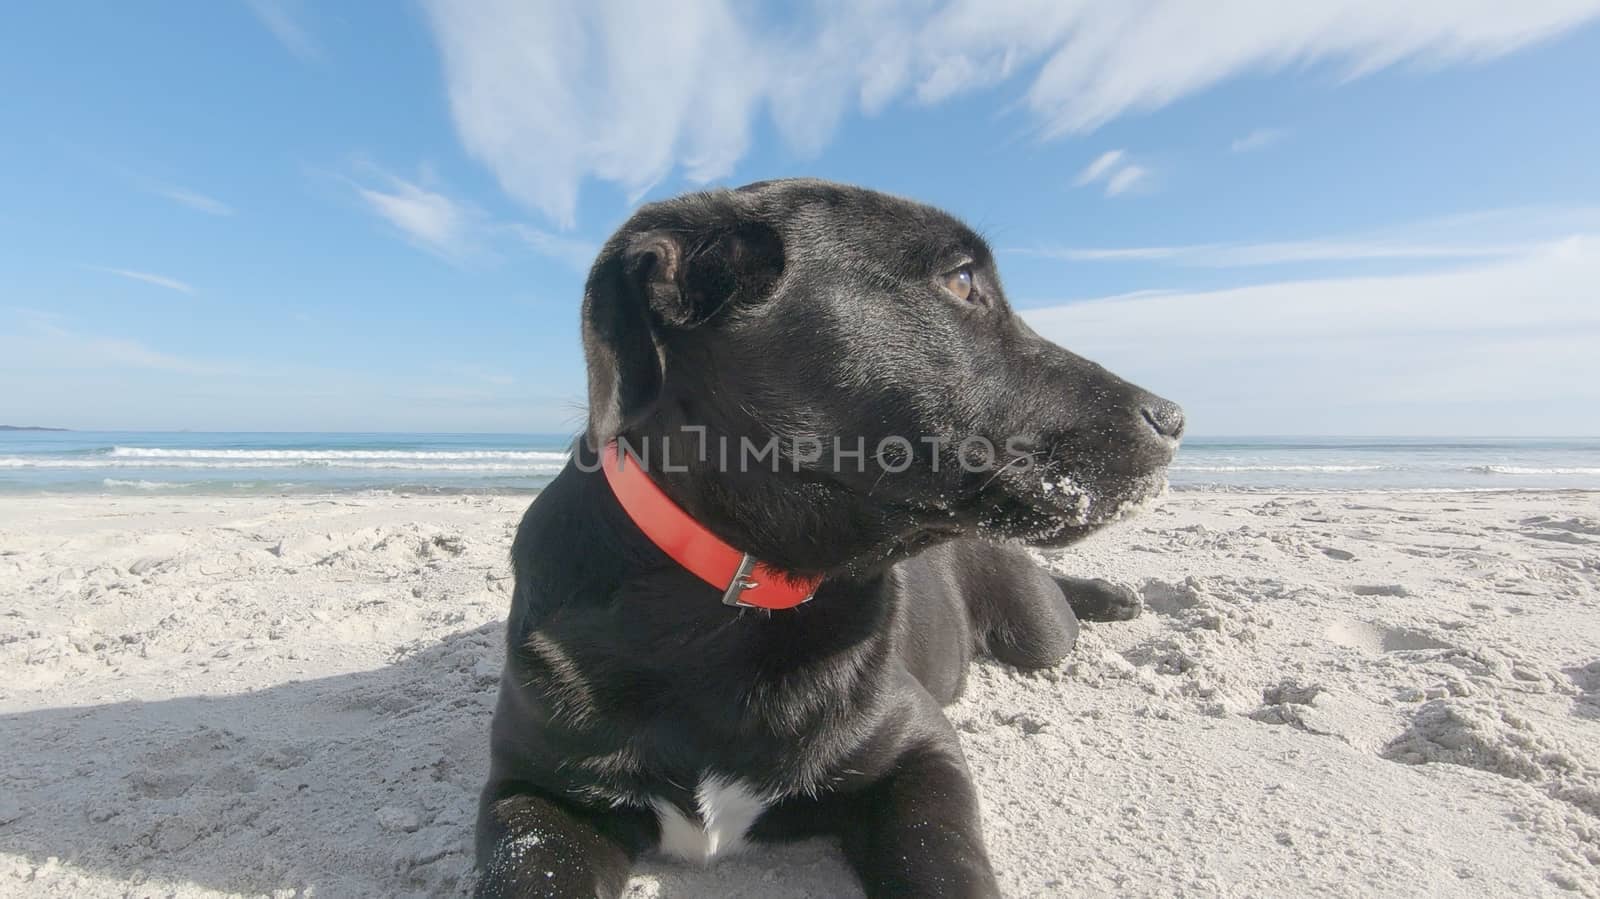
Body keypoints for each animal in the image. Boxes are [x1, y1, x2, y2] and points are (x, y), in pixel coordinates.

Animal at [467, 178, 1184, 889]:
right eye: (960, 280)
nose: (1175, 418)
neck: (725, 604)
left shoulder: (921, 748)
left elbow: (945, 863)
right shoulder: (537, 792)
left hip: (1037, 629)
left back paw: (1114, 595)